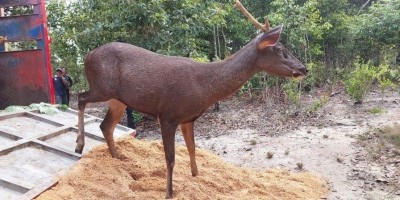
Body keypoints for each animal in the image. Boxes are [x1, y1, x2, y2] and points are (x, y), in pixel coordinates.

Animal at [74, 0, 306, 198]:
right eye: (281, 50)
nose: (303, 68)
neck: (204, 86)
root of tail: (87, 56)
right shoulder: (168, 114)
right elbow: (170, 158)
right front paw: (169, 193)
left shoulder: (188, 118)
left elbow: (192, 148)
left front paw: (196, 176)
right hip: (101, 87)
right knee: (80, 98)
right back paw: (79, 145)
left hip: (118, 100)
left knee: (105, 125)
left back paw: (117, 157)